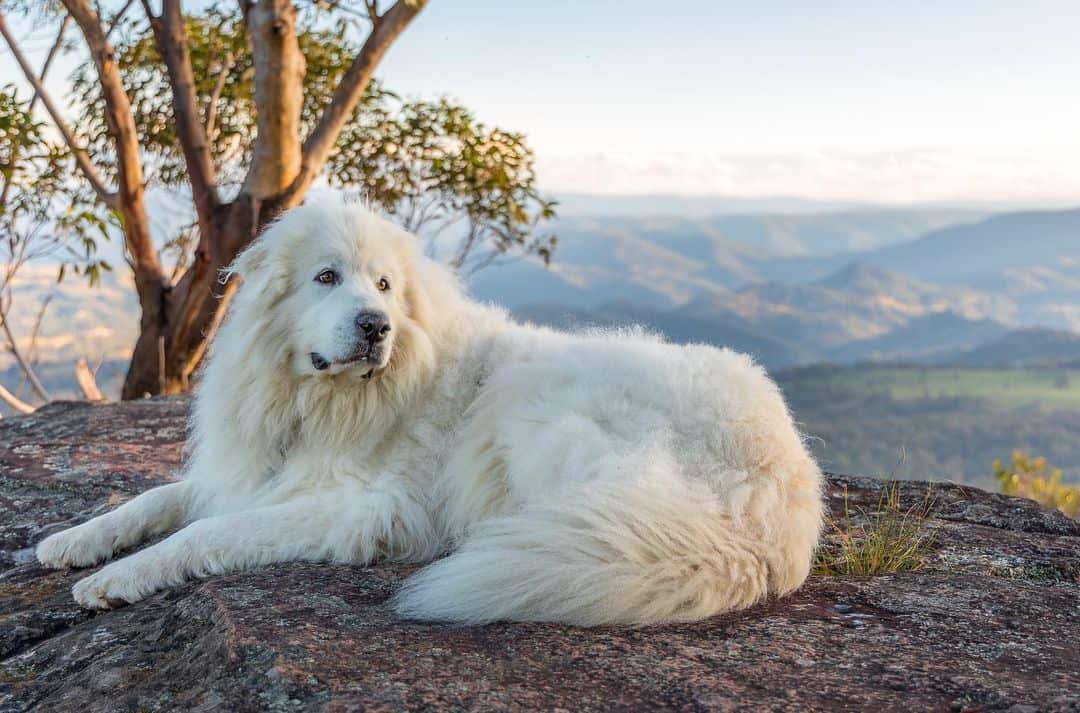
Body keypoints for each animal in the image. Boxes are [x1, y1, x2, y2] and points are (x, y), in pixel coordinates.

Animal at [38, 197, 820, 626]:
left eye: (385, 284)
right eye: (327, 277)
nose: (375, 325)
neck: (323, 400)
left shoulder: (363, 507)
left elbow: (207, 532)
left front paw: (117, 579)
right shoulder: (243, 471)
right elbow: (155, 498)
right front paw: (73, 541)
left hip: (541, 415)